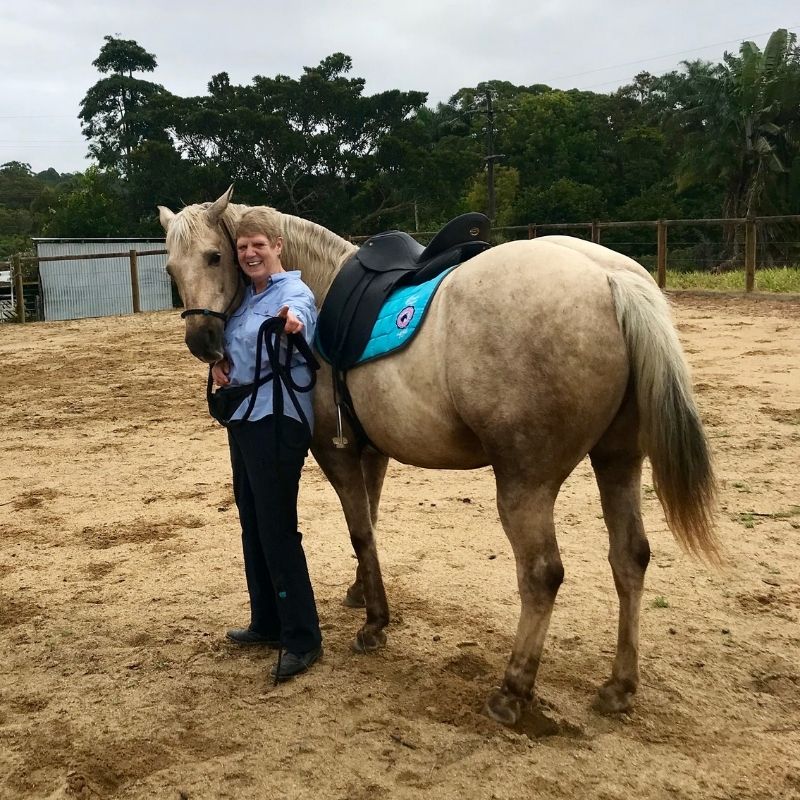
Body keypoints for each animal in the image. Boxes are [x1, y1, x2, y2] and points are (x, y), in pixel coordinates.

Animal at [158, 187, 718, 727]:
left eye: (215, 256)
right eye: (170, 269)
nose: (203, 341)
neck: (311, 295)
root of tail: (610, 276)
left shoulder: (335, 451)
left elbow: (359, 531)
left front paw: (375, 626)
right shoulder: (372, 452)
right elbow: (370, 525)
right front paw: (363, 596)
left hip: (526, 482)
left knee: (542, 574)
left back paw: (512, 693)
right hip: (618, 459)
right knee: (630, 557)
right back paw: (619, 687)